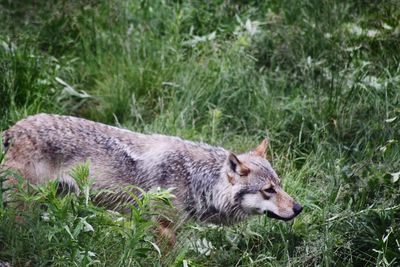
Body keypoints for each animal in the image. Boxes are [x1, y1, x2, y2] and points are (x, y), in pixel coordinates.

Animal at [0, 114, 304, 227]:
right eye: (268, 190)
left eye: (280, 185)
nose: (299, 208)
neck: (196, 177)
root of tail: (14, 128)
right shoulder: (163, 227)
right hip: (23, 209)